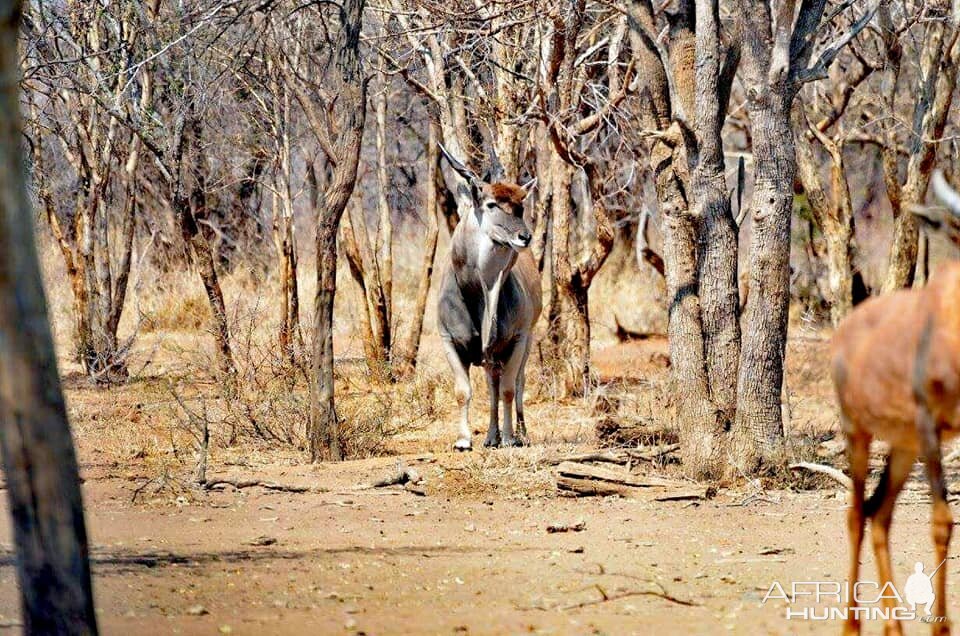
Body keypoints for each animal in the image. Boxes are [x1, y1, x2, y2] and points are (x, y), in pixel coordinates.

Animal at [438, 144, 544, 452]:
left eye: (520, 206)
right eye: (491, 204)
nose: (524, 237)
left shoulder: (518, 339)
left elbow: (509, 389)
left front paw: (509, 437)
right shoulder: (449, 340)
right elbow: (464, 390)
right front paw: (464, 440)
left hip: (526, 342)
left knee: (516, 384)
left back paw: (519, 434)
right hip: (491, 356)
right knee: (491, 385)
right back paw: (490, 436)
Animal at [828, 170, 960, 636]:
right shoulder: (929, 425)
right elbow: (942, 522)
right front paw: (941, 627)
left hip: (903, 445)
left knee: (879, 512)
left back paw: (894, 627)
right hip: (859, 431)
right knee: (855, 514)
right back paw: (852, 626)